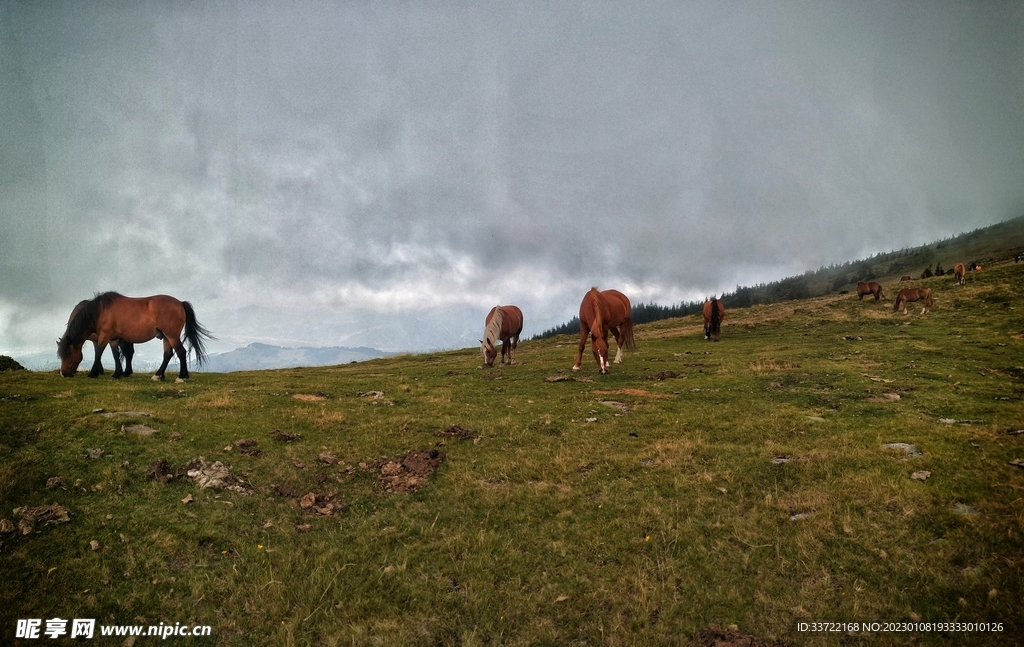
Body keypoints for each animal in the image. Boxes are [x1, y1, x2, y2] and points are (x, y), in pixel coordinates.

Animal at [58, 292, 213, 381]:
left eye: (68, 354)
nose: (63, 374)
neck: (100, 311)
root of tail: (180, 303)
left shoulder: (104, 336)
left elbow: (99, 353)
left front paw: (93, 373)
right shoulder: (113, 339)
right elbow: (115, 355)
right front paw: (117, 374)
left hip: (172, 335)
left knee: (181, 352)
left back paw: (181, 377)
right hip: (166, 337)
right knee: (168, 354)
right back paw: (158, 375)